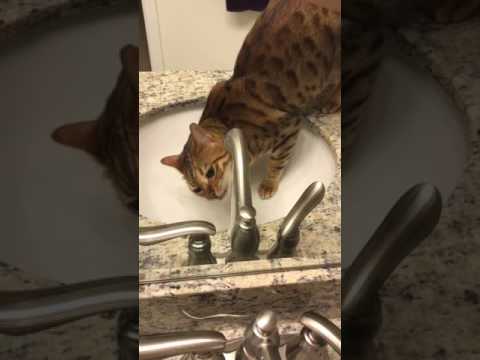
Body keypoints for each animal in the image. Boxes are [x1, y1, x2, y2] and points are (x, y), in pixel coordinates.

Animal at [161, 0, 342, 200]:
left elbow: (277, 162)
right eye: (197, 190)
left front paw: (268, 184)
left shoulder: (289, 128)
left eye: (210, 173)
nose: (212, 195)